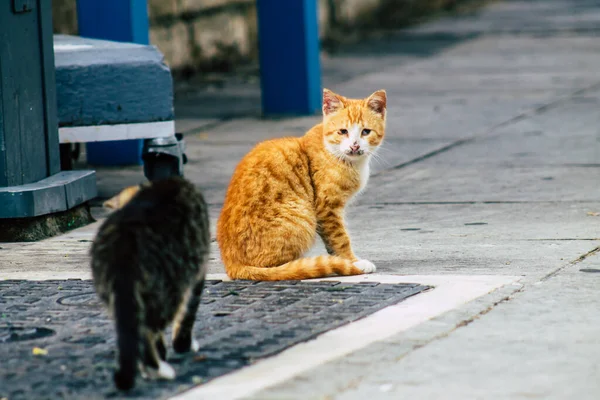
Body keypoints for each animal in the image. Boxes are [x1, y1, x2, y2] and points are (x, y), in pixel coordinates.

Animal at [89, 178, 211, 390]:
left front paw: (163, 351)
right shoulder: (197, 270)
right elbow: (188, 314)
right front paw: (183, 344)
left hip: (116, 293)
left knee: (137, 327)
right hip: (170, 285)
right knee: (149, 329)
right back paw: (157, 369)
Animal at [218, 88, 386, 280]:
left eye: (366, 132)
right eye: (343, 131)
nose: (354, 146)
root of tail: (233, 265)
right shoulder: (327, 207)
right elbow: (340, 238)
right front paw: (352, 262)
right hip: (302, 215)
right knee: (275, 267)